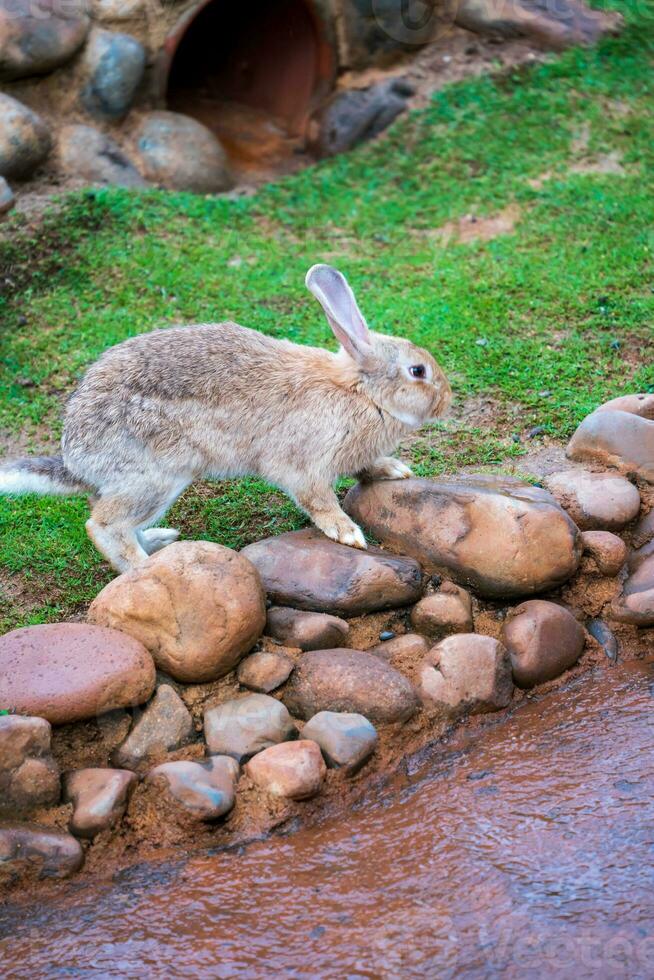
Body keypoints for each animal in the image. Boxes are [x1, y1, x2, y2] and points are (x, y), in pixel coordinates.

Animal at [0, 268, 452, 576]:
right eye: (417, 372)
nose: (446, 400)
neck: (361, 392)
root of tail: (75, 457)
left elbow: (368, 468)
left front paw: (394, 470)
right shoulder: (304, 467)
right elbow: (319, 501)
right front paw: (346, 533)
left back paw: (161, 541)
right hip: (156, 476)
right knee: (103, 524)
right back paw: (143, 567)